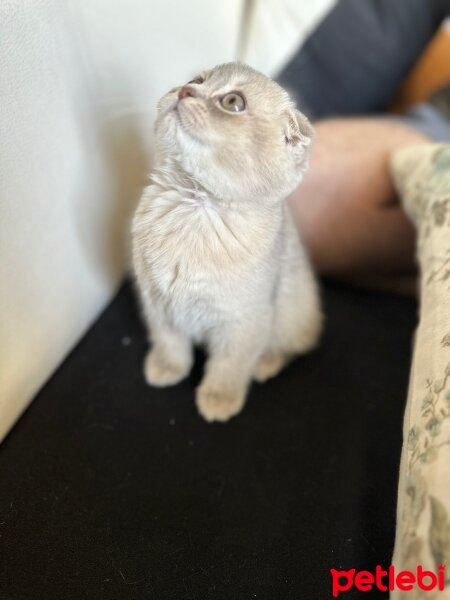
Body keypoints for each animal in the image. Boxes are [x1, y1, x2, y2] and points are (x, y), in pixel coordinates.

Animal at [132, 62, 322, 422]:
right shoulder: (158, 304)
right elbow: (169, 342)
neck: (194, 208)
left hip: (292, 314)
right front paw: (167, 368)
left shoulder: (245, 321)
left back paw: (265, 363)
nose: (185, 91)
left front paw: (219, 398)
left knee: (292, 347)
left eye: (233, 102)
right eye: (196, 80)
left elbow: (230, 364)